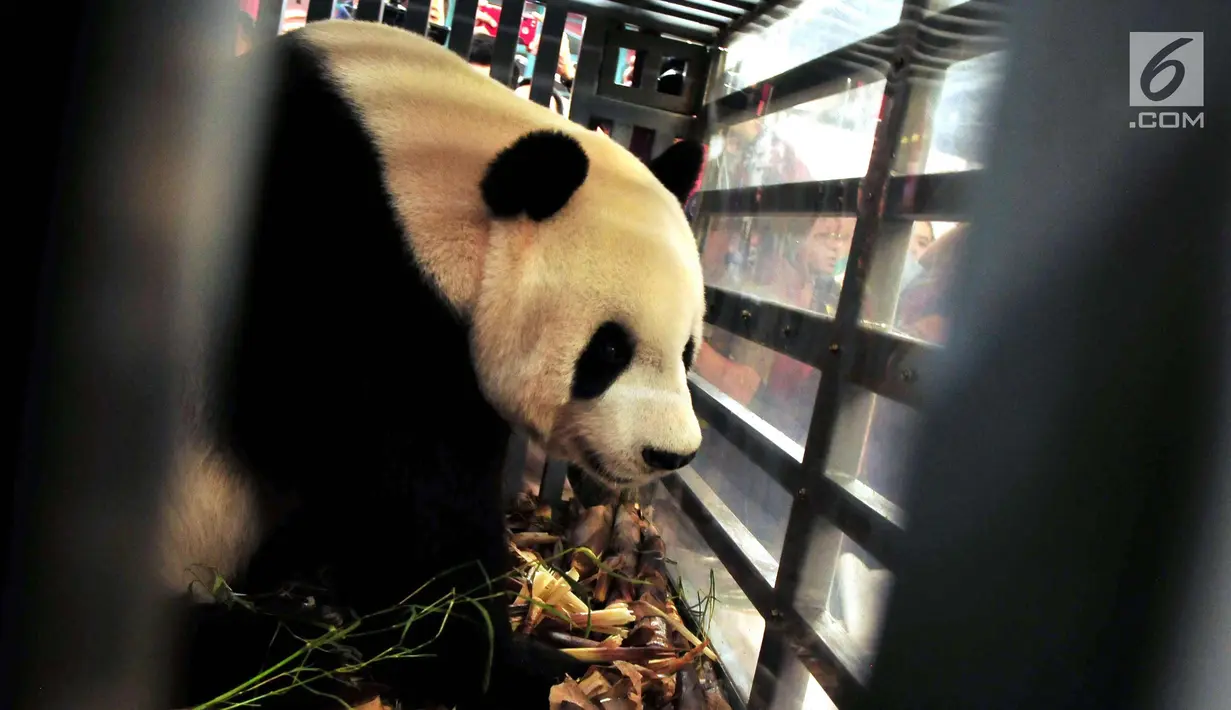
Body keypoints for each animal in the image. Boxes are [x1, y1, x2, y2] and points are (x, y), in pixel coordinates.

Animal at [162, 17, 706, 710]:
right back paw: (296, 652)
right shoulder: (329, 269)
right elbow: (405, 504)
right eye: (609, 349)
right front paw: (509, 663)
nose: (671, 455)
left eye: (688, 350)